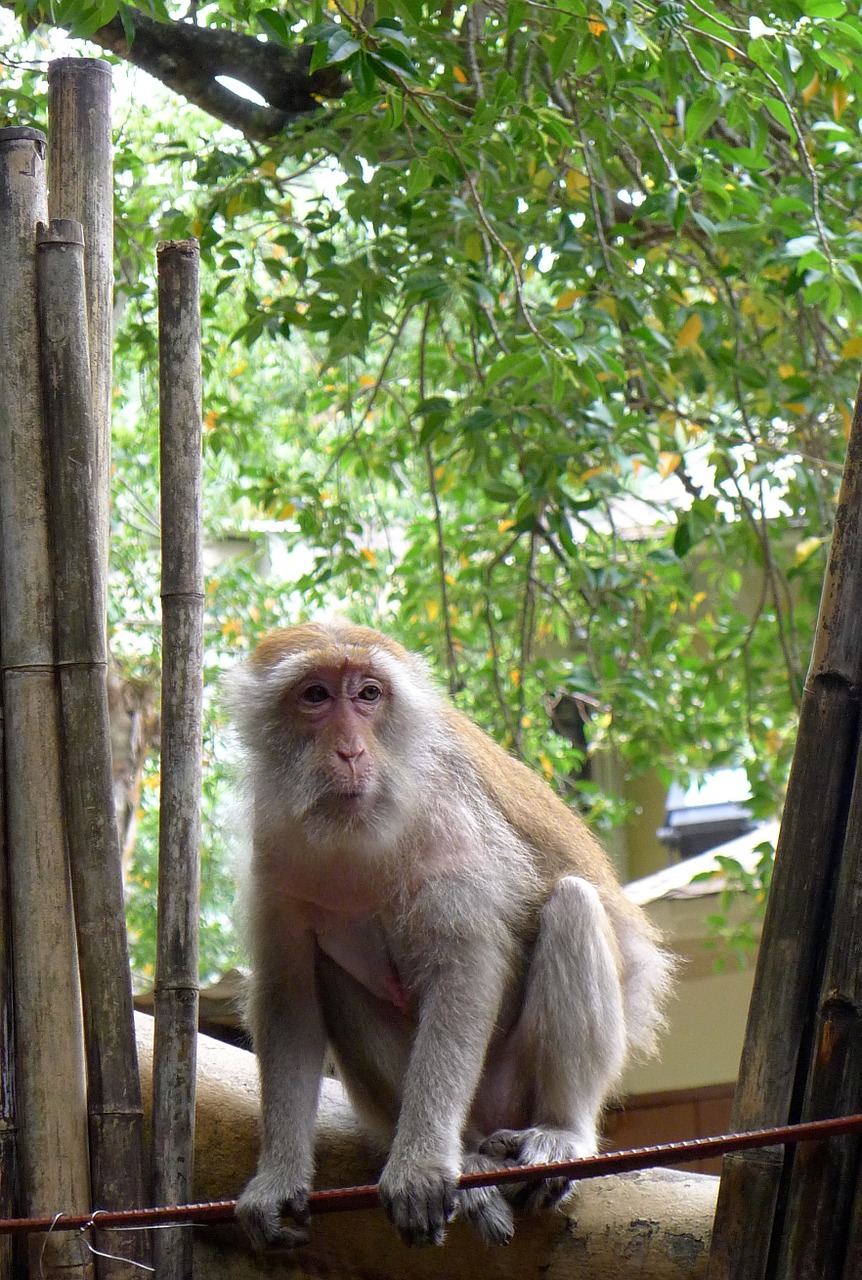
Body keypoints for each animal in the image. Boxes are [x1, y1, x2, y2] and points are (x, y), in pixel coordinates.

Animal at [226, 619, 671, 1249]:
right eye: (315, 696)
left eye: (368, 694)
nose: (351, 750)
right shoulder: (274, 848)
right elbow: (289, 998)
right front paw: (279, 1178)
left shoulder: (449, 821)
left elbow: (466, 970)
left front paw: (420, 1164)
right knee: (329, 974)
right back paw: (470, 1156)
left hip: (512, 1084)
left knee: (573, 906)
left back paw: (560, 1130)